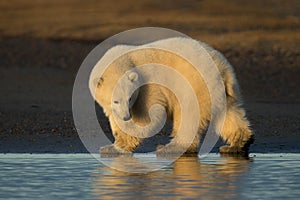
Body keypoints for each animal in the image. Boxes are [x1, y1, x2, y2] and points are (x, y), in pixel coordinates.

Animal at [90, 37, 254, 155]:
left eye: (129, 98)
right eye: (116, 101)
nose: (126, 117)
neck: (124, 60)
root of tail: (222, 69)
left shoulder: (148, 86)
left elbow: (147, 118)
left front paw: (112, 147)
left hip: (196, 83)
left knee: (188, 114)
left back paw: (170, 148)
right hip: (224, 91)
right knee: (229, 112)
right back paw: (237, 144)